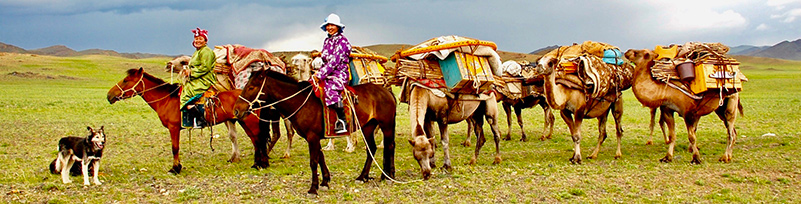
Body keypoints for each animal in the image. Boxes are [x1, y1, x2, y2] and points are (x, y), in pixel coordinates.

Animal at [105, 67, 282, 173]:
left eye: (125, 80)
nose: (109, 95)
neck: (166, 99)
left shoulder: (174, 128)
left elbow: (175, 148)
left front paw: (175, 168)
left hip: (249, 121)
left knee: (258, 139)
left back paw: (261, 163)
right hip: (242, 121)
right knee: (256, 140)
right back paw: (257, 163)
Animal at [233, 69, 396, 195]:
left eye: (251, 87)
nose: (236, 110)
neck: (300, 102)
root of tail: (385, 91)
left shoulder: (312, 137)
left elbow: (313, 161)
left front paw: (313, 188)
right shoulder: (313, 137)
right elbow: (321, 157)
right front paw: (324, 181)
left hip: (386, 125)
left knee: (389, 146)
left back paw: (388, 176)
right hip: (368, 126)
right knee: (372, 149)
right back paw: (364, 176)